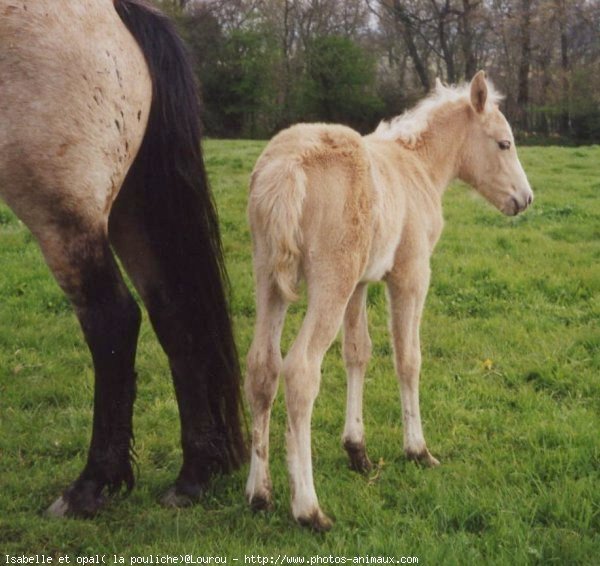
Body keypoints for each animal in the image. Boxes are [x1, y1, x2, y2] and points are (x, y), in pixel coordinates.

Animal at [0, 0, 246, 516]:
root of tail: (117, 14)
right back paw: (194, 476)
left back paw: (91, 486)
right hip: (132, 206)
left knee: (112, 319)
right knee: (172, 314)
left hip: (64, 213)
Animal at [244, 72, 536, 532]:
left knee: (262, 368)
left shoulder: (360, 285)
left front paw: (356, 450)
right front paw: (417, 449)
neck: (418, 165)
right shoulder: (411, 275)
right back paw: (308, 508)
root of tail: (287, 169)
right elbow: (408, 358)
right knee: (301, 371)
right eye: (504, 143)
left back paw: (259, 493)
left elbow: (357, 353)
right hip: (330, 281)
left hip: (269, 279)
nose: (525, 199)